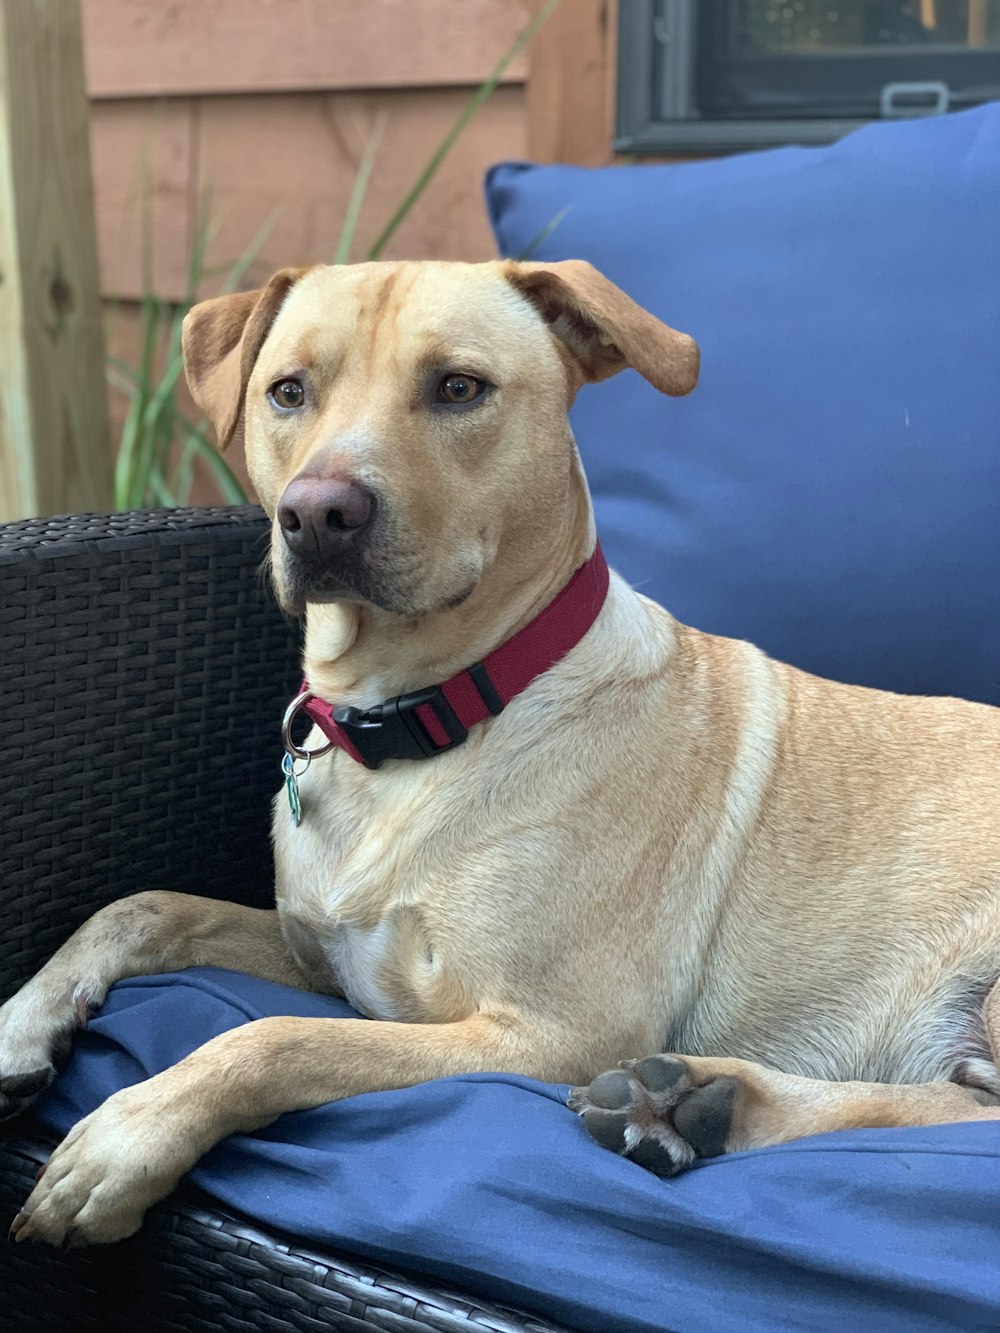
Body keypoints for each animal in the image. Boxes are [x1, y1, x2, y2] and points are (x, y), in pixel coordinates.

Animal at [1, 262, 1000, 1247]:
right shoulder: (329, 959)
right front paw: (22, 1023)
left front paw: (131, 1134)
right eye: (288, 392)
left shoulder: (540, 1033)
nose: (316, 514)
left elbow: (277, 1036)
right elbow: (142, 906)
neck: (418, 726)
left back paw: (705, 1102)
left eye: (459, 388)